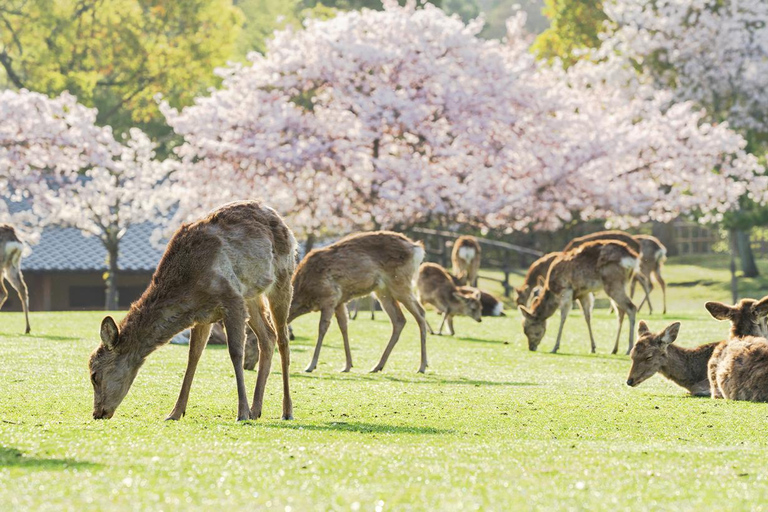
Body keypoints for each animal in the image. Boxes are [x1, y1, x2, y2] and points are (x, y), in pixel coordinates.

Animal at [88, 202, 296, 422]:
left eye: (95, 374)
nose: (97, 413)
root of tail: (278, 216)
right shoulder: (203, 315)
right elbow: (193, 356)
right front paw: (175, 412)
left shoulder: (231, 298)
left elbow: (235, 352)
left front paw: (241, 413)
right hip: (251, 295)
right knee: (268, 337)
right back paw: (256, 410)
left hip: (283, 277)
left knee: (283, 340)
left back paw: (286, 411)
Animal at [290, 231, 428, 372]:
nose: (292, 337)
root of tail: (417, 248)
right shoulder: (339, 302)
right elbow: (344, 326)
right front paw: (347, 365)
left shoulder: (330, 297)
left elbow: (322, 328)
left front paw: (311, 365)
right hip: (383, 291)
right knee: (399, 320)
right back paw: (378, 366)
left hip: (400, 282)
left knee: (420, 313)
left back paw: (422, 366)